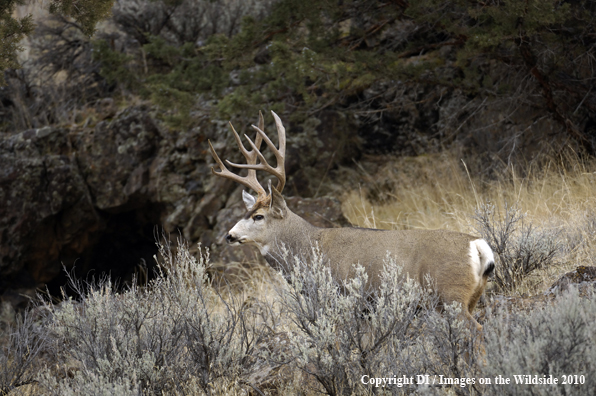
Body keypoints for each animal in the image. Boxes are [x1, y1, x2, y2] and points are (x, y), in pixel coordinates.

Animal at [207, 110, 496, 330]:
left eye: (258, 216)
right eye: (245, 213)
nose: (229, 235)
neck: (308, 247)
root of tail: (477, 245)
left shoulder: (343, 298)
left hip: (450, 295)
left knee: (479, 332)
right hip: (470, 296)